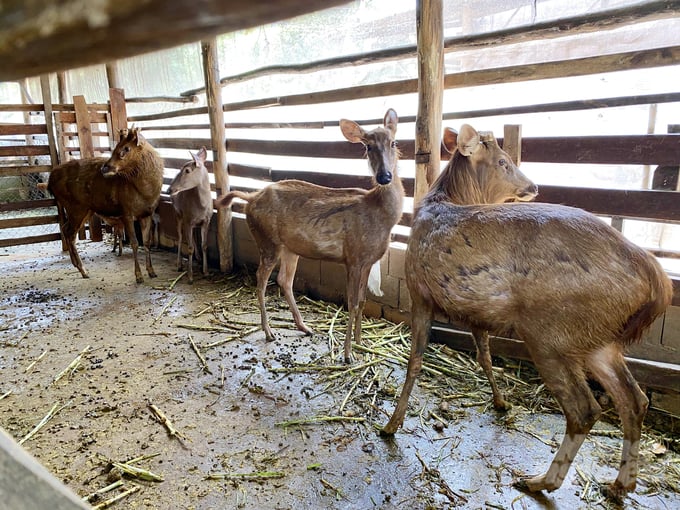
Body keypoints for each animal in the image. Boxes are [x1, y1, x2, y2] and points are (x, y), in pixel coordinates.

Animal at [46, 128, 165, 282]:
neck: (147, 193)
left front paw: (151, 271)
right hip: (75, 206)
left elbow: (146, 242)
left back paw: (78, 267)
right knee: (70, 232)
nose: (104, 168)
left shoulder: (147, 213)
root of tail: (49, 182)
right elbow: (134, 242)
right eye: (116, 147)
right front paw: (138, 276)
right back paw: (83, 269)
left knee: (66, 229)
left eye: (126, 148)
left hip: (85, 209)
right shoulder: (126, 211)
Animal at [167, 145, 212, 284]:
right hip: (178, 214)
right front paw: (190, 276)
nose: (169, 189)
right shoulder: (187, 219)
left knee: (191, 237)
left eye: (187, 170)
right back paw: (179, 264)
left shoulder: (206, 220)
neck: (202, 206)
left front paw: (206, 272)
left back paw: (197, 258)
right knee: (181, 237)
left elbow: (204, 245)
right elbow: (189, 246)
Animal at [215, 107, 402, 362]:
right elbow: (352, 303)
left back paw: (304, 327)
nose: (385, 176)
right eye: (368, 147)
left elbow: (363, 301)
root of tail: (251, 198)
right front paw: (348, 354)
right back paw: (269, 331)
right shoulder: (353, 257)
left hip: (290, 248)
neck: (380, 215)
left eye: (393, 142)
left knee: (284, 280)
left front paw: (361, 342)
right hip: (267, 241)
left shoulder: (368, 261)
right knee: (261, 278)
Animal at [382, 123, 676, 502]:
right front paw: (500, 402)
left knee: (585, 409)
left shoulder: (418, 291)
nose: (534, 186)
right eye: (504, 162)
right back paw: (620, 484)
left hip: (551, 330)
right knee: (634, 400)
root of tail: (658, 282)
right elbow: (484, 355)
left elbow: (415, 362)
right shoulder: (475, 311)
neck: (443, 200)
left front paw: (391, 425)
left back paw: (540, 481)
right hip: (599, 338)